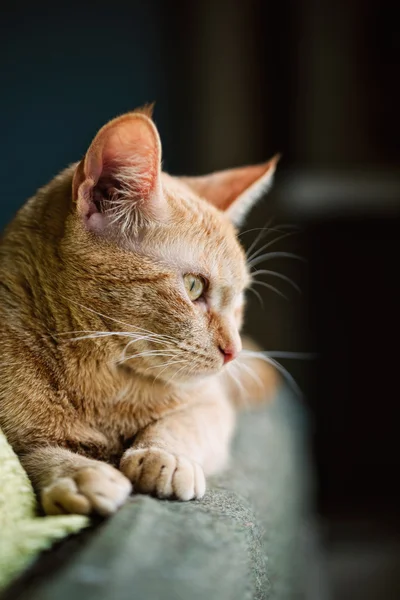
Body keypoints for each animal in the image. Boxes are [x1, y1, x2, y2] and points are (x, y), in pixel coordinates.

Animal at [0, 104, 278, 516]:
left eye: (239, 300)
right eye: (194, 286)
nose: (234, 352)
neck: (104, 381)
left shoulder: (211, 405)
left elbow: (183, 424)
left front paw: (163, 455)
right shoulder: (13, 438)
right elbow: (30, 457)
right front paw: (79, 472)